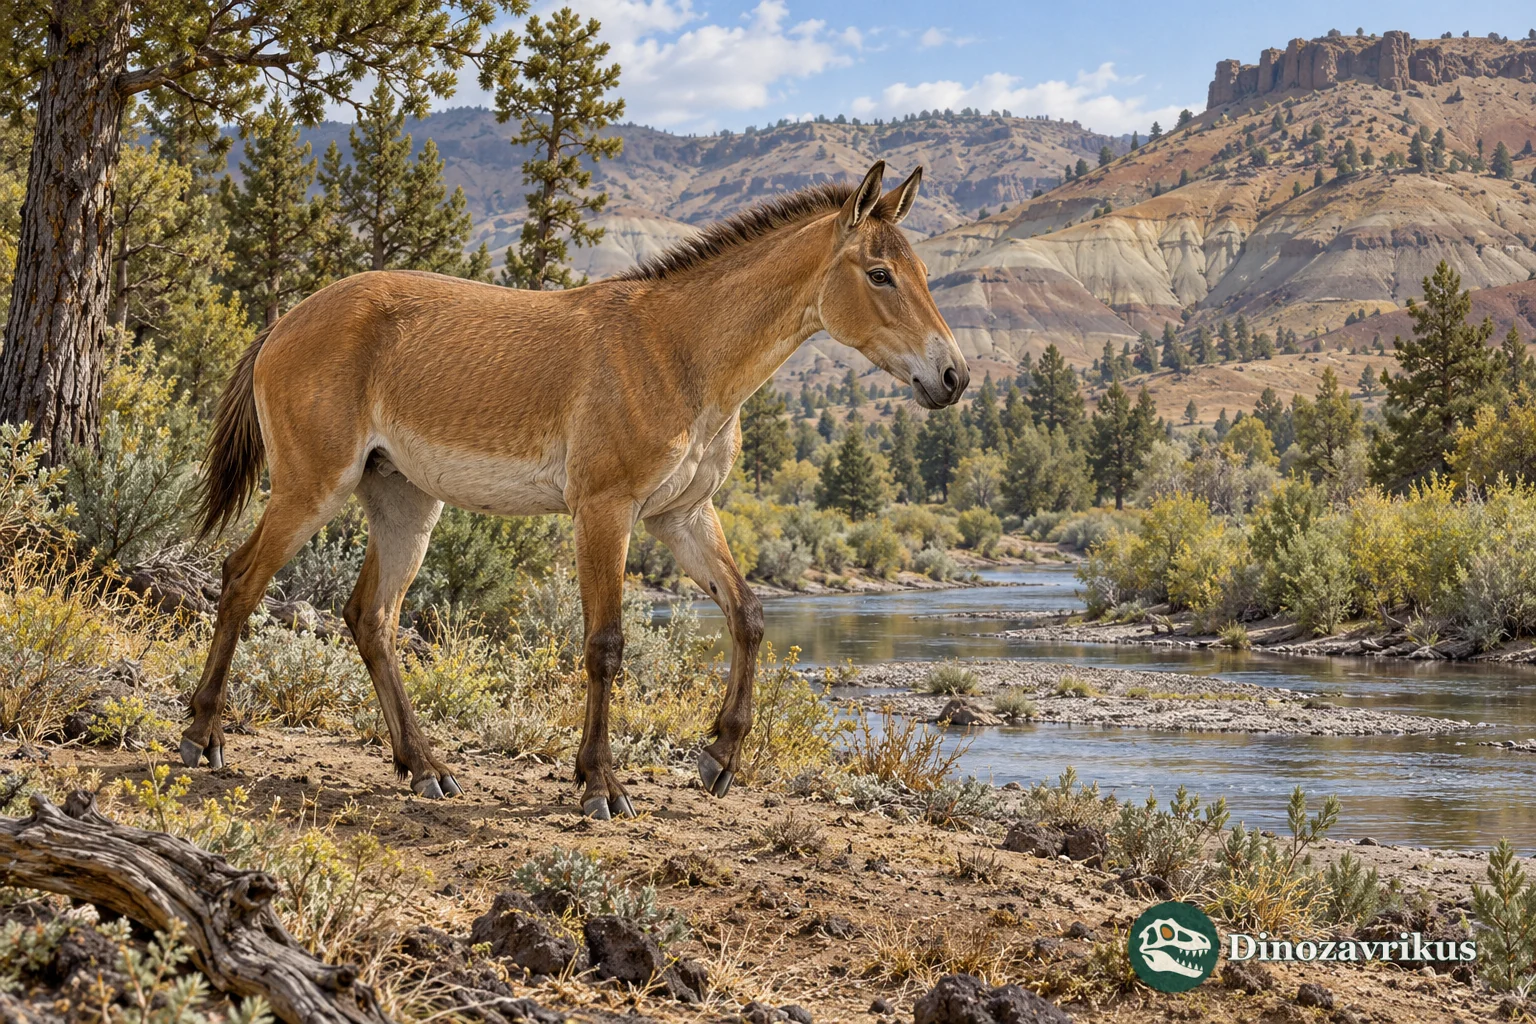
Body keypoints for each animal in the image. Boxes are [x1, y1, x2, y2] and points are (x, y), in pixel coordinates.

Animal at [187, 160, 968, 819]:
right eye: (880, 274)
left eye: (923, 271)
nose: (954, 376)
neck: (676, 350)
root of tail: (285, 322)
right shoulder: (604, 512)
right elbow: (606, 645)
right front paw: (600, 783)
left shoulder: (682, 515)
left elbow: (747, 615)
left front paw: (718, 756)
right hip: (311, 489)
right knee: (242, 580)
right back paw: (204, 736)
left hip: (405, 503)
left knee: (370, 618)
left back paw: (425, 767)